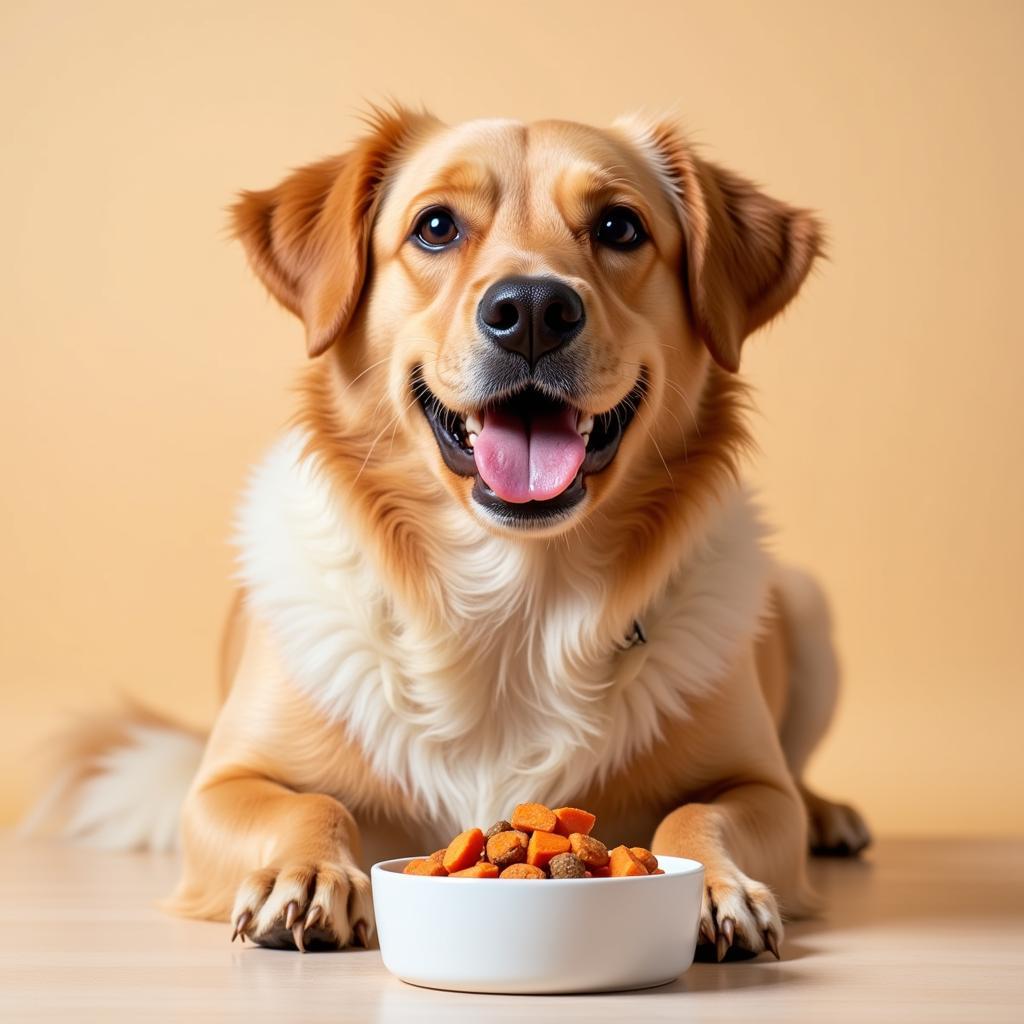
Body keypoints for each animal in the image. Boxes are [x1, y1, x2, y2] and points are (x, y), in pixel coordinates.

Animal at [36, 103, 876, 958]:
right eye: (436, 226)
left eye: (620, 225)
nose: (532, 310)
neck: (512, 601)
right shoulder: (222, 786)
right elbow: (310, 803)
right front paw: (305, 875)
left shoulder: (757, 785)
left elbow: (700, 811)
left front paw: (713, 886)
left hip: (807, 613)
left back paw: (832, 816)